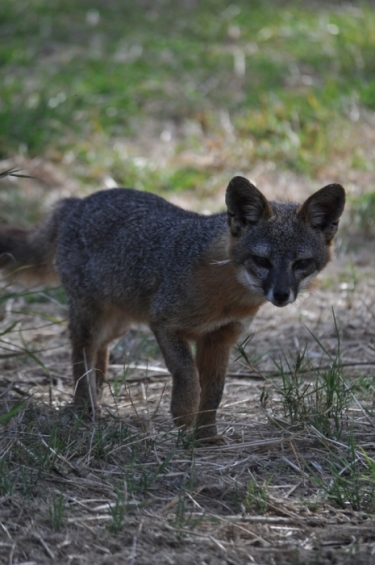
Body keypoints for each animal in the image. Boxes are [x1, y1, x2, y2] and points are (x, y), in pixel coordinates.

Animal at [0, 177, 346, 440]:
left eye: (301, 263)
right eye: (262, 261)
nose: (282, 294)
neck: (225, 297)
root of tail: (76, 201)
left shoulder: (220, 338)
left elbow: (214, 391)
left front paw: (207, 437)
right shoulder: (165, 323)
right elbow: (187, 373)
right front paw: (182, 415)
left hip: (118, 322)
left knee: (100, 350)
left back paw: (97, 396)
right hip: (91, 317)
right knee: (81, 351)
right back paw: (86, 406)